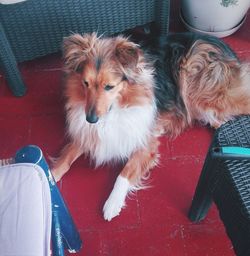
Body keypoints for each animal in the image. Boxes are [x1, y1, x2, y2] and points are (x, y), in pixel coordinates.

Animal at [51, 31, 250, 220]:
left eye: (109, 86)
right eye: (85, 83)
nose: (91, 119)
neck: (115, 110)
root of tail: (222, 45)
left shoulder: (146, 143)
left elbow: (124, 173)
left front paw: (112, 203)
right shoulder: (85, 132)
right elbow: (65, 158)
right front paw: (50, 177)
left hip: (201, 92)